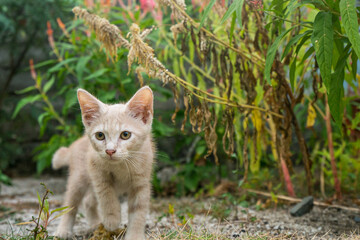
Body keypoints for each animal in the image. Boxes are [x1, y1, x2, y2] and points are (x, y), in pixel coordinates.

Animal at [52, 86, 155, 240]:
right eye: (100, 135)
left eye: (125, 135)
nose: (110, 151)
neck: (121, 165)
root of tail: (74, 145)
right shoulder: (97, 172)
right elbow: (107, 195)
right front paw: (112, 219)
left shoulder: (141, 181)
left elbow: (138, 210)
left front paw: (134, 235)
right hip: (79, 178)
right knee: (71, 203)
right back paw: (63, 230)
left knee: (88, 201)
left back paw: (95, 224)